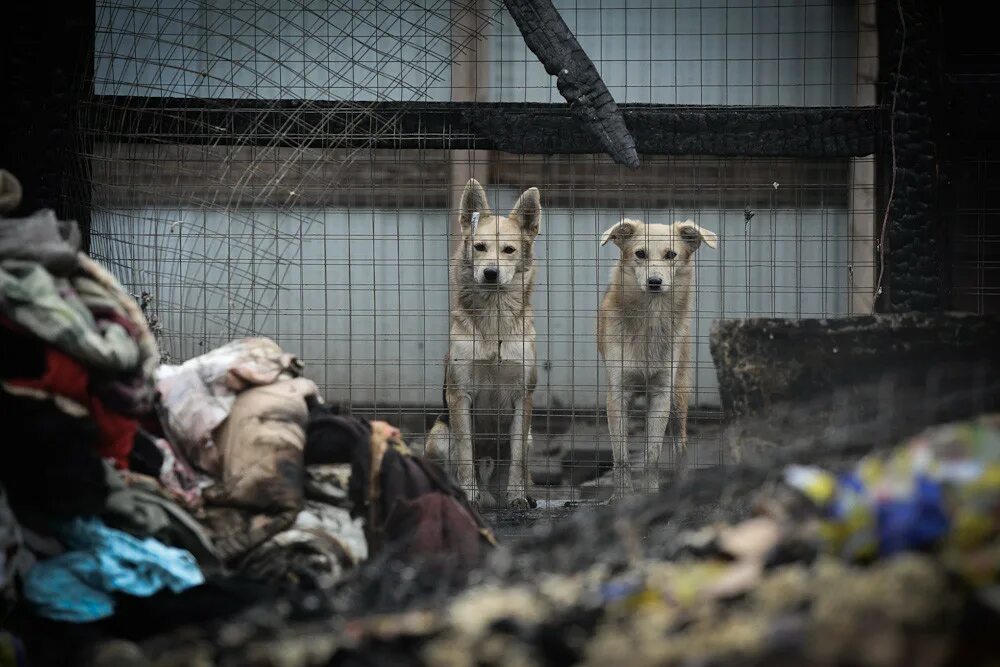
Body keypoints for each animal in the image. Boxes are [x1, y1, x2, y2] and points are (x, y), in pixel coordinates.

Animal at [426, 179, 544, 512]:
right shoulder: (459, 395)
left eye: (509, 250)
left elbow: (516, 460)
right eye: (479, 247)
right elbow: (466, 452)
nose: (490, 273)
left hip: (530, 437)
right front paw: (470, 494)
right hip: (438, 435)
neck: (494, 321)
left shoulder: (523, 397)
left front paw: (518, 496)